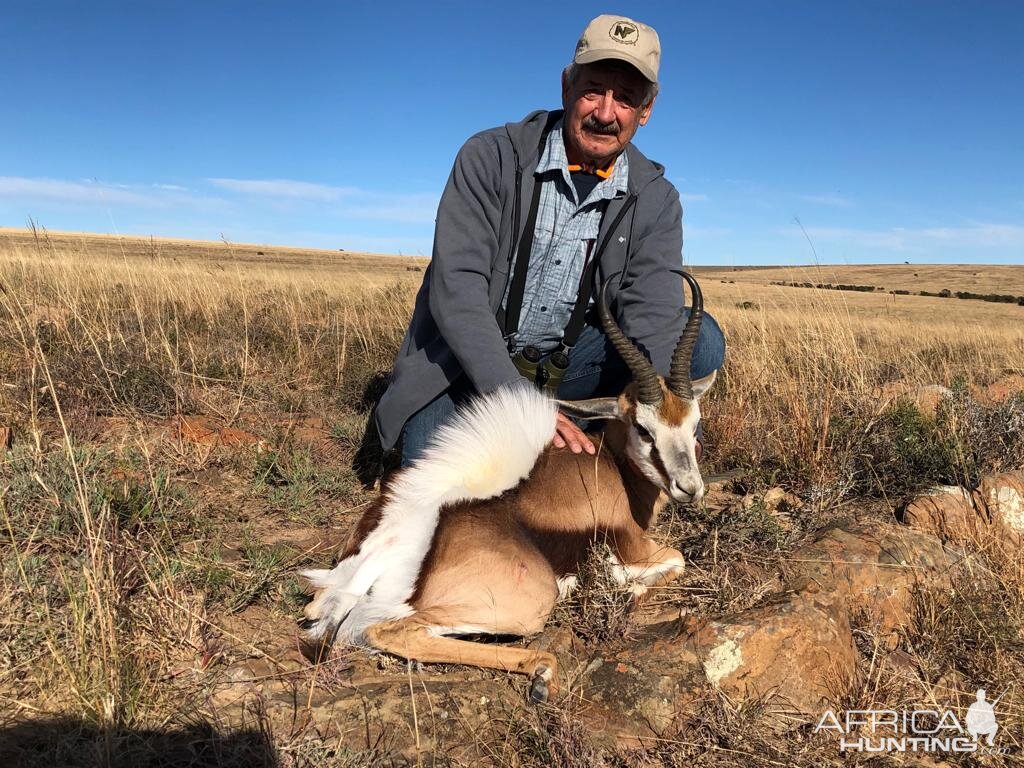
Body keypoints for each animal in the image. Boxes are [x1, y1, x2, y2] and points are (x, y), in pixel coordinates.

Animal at [303, 274, 716, 708]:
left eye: (694, 423)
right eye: (643, 428)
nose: (690, 488)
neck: (611, 465)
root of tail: (392, 539)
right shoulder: (636, 545)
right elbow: (675, 560)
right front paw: (623, 587)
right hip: (526, 603)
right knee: (386, 631)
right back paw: (541, 671)